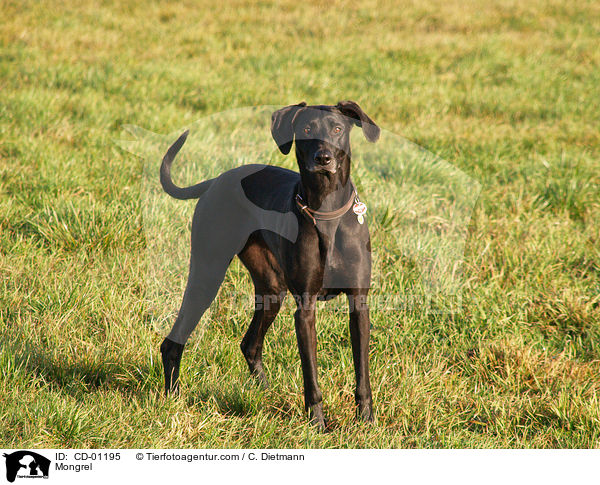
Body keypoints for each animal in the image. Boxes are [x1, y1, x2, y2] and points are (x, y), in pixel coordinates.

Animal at [159, 100, 380, 426]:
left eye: (338, 129)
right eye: (306, 129)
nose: (323, 158)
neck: (327, 212)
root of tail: (216, 182)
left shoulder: (359, 304)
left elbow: (362, 372)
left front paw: (366, 421)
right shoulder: (305, 309)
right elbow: (311, 376)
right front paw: (318, 424)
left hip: (272, 289)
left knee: (250, 344)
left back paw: (265, 393)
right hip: (207, 275)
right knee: (173, 343)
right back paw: (173, 398)